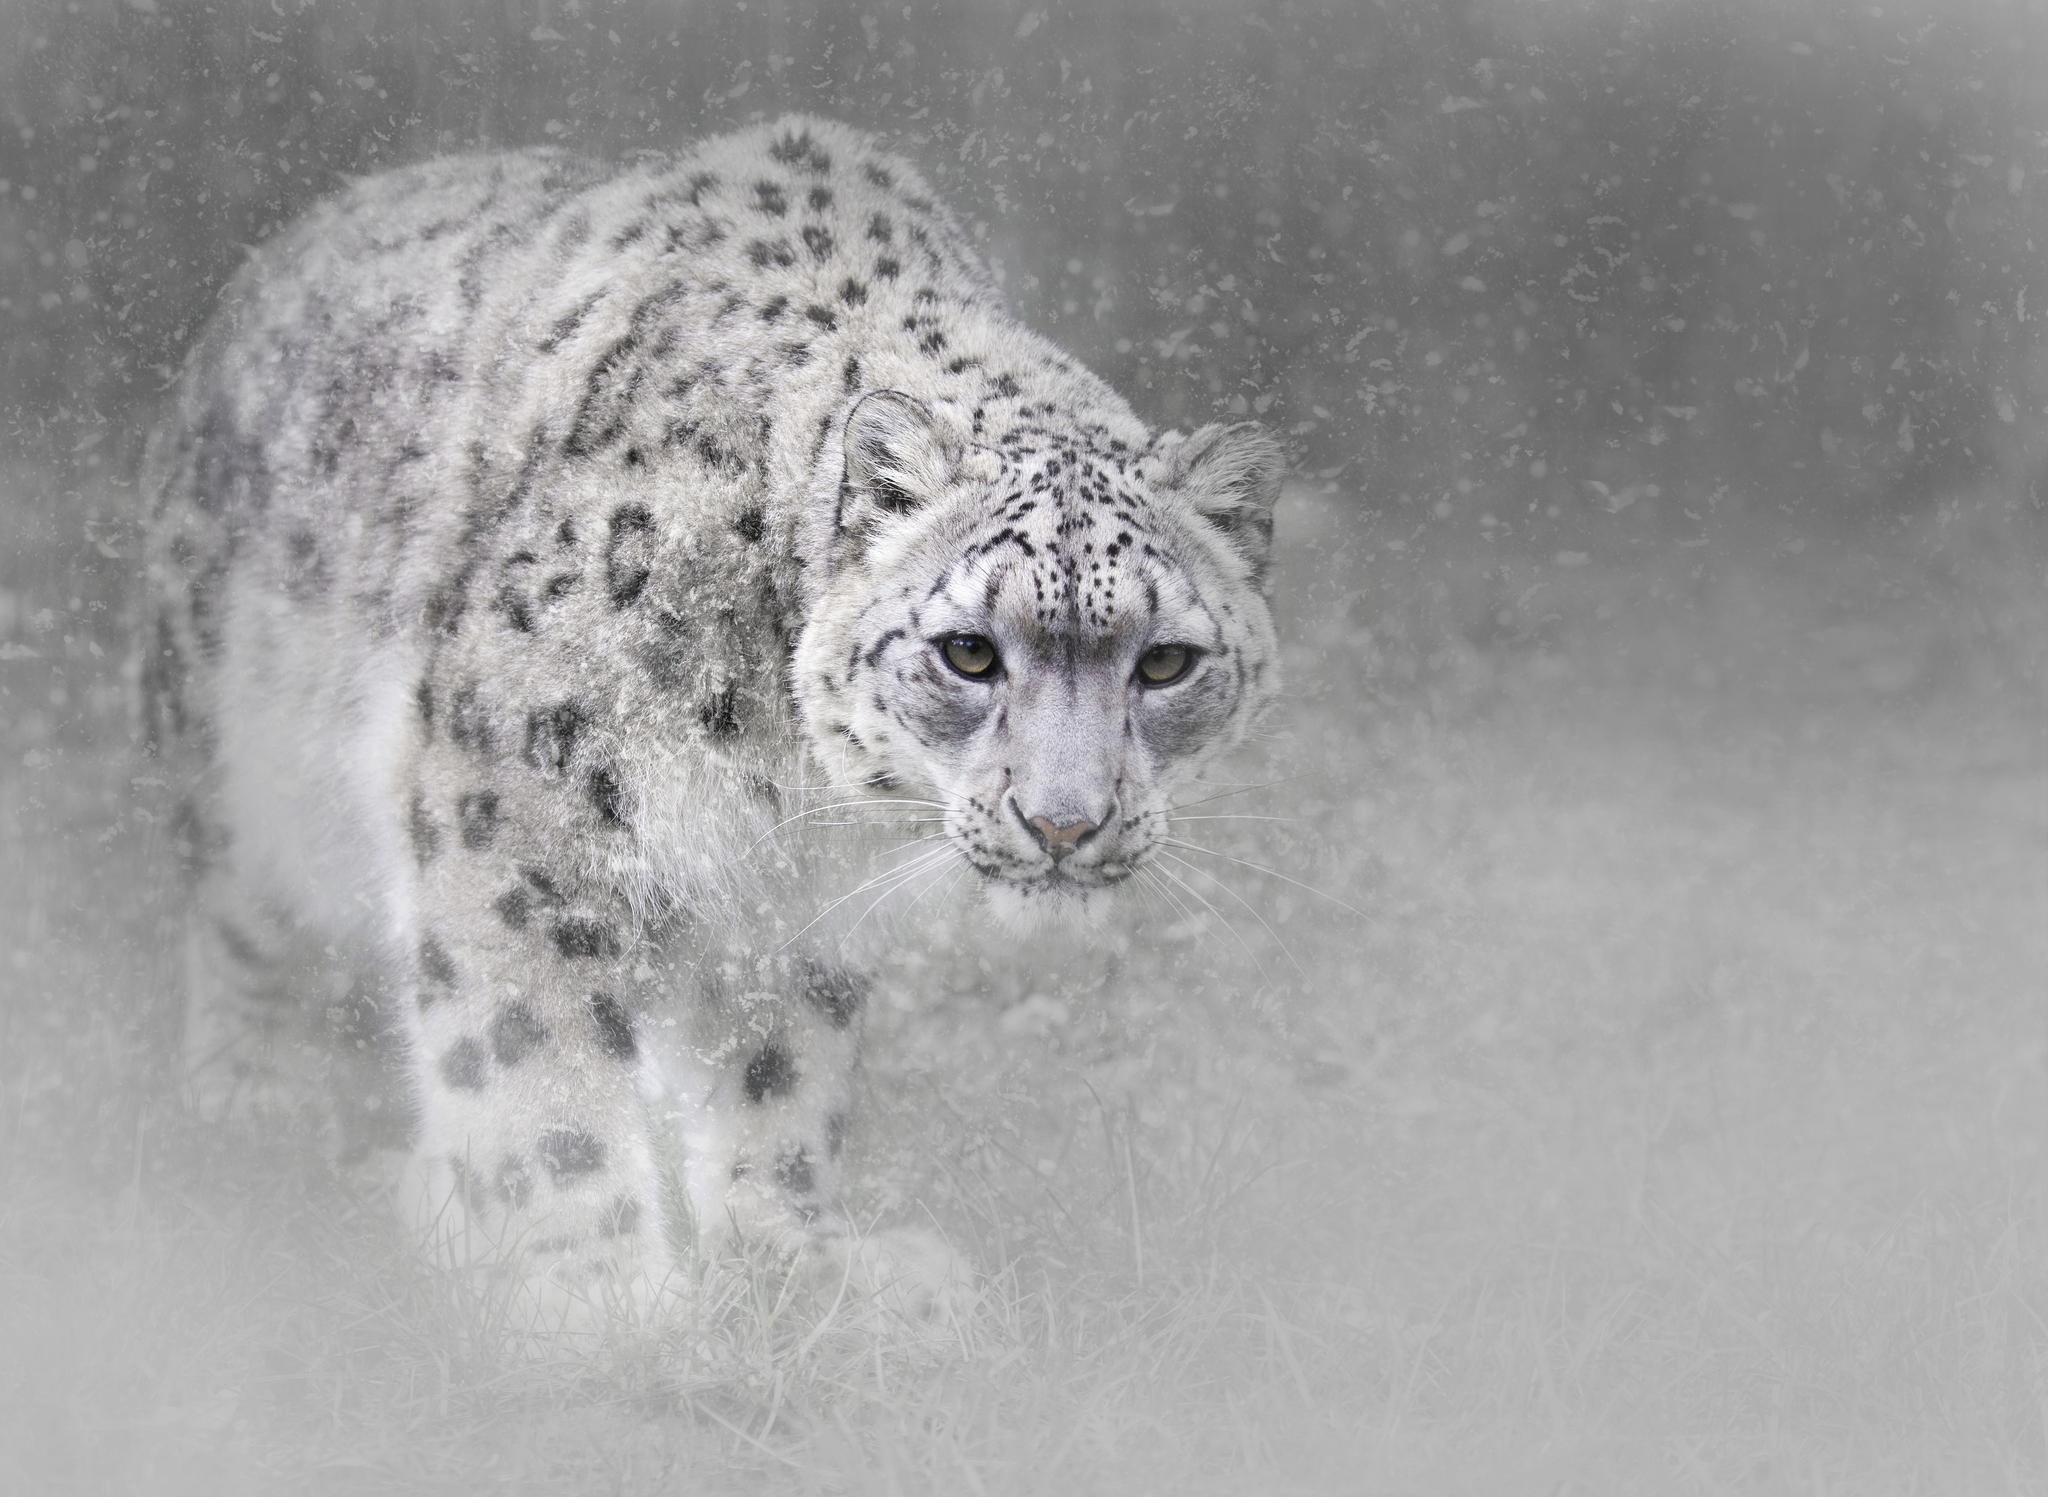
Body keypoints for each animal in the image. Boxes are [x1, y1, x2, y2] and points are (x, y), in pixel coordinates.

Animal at [138, 115, 1283, 1329]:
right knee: (240, 913)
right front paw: (599, 1294)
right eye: (969, 651)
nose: (1065, 823)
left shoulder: (798, 902)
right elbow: (529, 1049)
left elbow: (781, 1070)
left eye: (1164, 662)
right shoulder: (510, 800)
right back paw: (263, 1092)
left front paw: (797, 1253)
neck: (781, 769)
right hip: (230, 742)